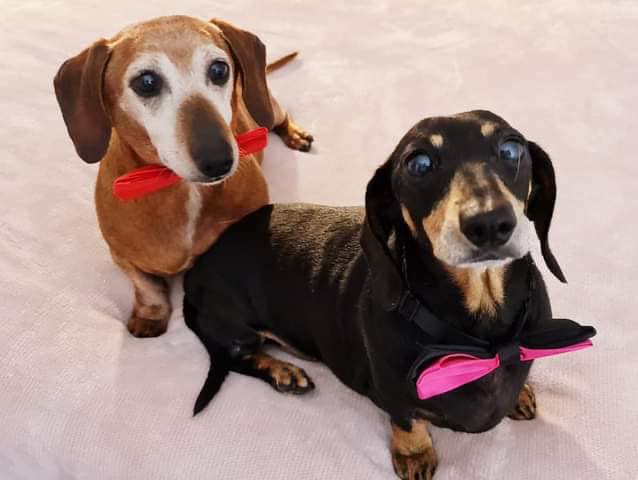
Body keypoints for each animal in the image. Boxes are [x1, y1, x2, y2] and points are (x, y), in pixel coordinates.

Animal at [53, 15, 313, 337]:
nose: (219, 161)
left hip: (268, 109)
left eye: (219, 69)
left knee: (281, 116)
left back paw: (295, 134)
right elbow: (147, 285)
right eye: (147, 82)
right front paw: (150, 316)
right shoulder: (120, 255)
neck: (181, 188)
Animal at [183, 111, 595, 479]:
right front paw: (414, 454)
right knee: (241, 357)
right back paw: (285, 372)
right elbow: (406, 420)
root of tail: (193, 272)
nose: (490, 223)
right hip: (236, 327)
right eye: (420, 163)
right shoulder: (393, 393)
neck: (482, 334)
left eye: (511, 149)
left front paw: (521, 393)